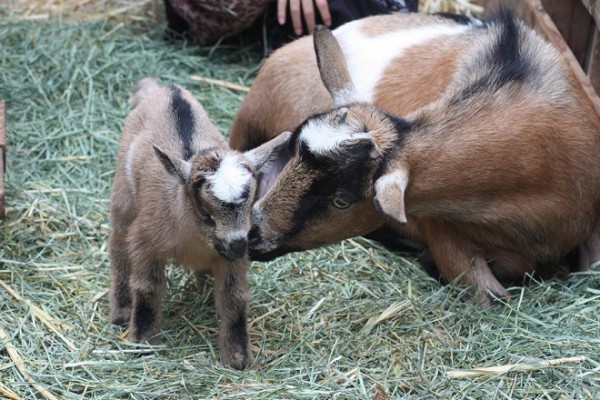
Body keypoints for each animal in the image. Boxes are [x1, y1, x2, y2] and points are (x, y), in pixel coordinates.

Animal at [108, 78, 290, 369]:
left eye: (251, 202)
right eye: (205, 212)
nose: (238, 245)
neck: (194, 239)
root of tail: (165, 89)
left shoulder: (230, 257)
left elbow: (234, 299)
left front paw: (238, 358)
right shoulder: (145, 240)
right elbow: (147, 288)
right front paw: (142, 342)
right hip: (123, 196)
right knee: (118, 247)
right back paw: (121, 312)